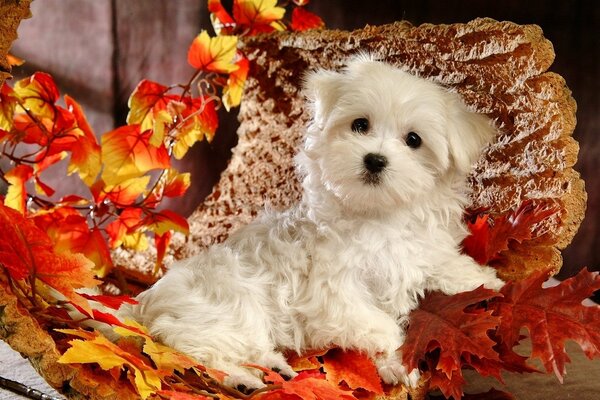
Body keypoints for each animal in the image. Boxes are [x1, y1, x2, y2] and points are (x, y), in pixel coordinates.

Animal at [125, 54, 502, 392]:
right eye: (360, 124)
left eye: (414, 140)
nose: (375, 160)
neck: (379, 216)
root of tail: (145, 305)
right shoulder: (332, 293)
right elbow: (377, 323)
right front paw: (397, 354)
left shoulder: (418, 250)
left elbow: (441, 262)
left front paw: (484, 280)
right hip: (224, 309)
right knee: (197, 349)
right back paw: (242, 379)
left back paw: (272, 366)